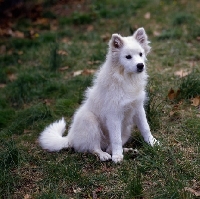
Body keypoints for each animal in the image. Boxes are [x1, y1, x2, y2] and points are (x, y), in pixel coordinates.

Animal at [38, 26, 158, 163]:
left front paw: (153, 143)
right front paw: (117, 157)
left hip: (126, 129)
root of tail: (70, 138)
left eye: (141, 54)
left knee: (108, 148)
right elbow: (116, 139)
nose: (140, 66)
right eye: (128, 57)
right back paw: (104, 155)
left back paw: (128, 151)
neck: (126, 78)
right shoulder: (114, 115)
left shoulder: (138, 108)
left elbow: (145, 128)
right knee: (94, 148)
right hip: (90, 122)